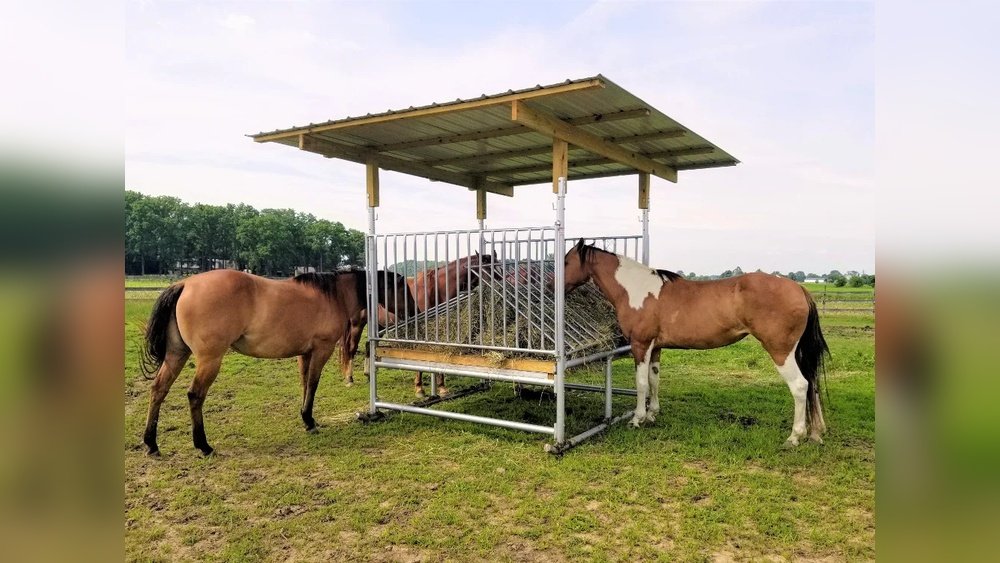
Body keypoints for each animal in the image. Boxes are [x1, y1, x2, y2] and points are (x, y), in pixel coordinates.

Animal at [140, 268, 414, 456]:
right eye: (403, 289)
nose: (414, 310)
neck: (333, 295)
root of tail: (184, 284)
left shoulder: (305, 353)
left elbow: (304, 384)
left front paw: (306, 419)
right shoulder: (321, 350)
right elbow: (313, 384)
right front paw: (309, 420)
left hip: (176, 355)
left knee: (158, 389)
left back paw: (151, 443)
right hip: (210, 359)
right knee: (195, 395)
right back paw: (203, 445)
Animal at [341, 251, 495, 397]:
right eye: (488, 267)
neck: (435, 289)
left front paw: (442, 388)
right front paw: (419, 388)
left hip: (379, 325)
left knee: (366, 346)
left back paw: (368, 374)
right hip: (357, 325)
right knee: (351, 348)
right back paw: (349, 378)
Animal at [562, 240, 830, 447]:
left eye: (565, 261)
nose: (553, 284)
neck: (636, 289)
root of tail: (799, 289)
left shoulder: (641, 345)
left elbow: (641, 384)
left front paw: (637, 419)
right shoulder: (656, 348)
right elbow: (654, 381)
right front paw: (652, 414)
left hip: (781, 352)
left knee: (800, 386)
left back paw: (795, 437)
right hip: (797, 353)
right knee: (812, 385)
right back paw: (816, 433)